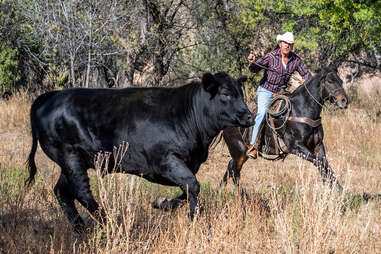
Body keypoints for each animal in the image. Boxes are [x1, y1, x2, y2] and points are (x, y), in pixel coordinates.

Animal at [26, 71, 252, 230]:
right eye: (226, 94)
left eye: (240, 93)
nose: (249, 116)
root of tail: (51, 96)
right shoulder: (165, 161)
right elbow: (193, 185)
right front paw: (194, 217)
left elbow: (187, 190)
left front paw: (162, 203)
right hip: (70, 155)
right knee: (82, 192)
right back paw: (107, 222)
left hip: (71, 162)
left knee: (63, 192)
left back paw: (81, 228)